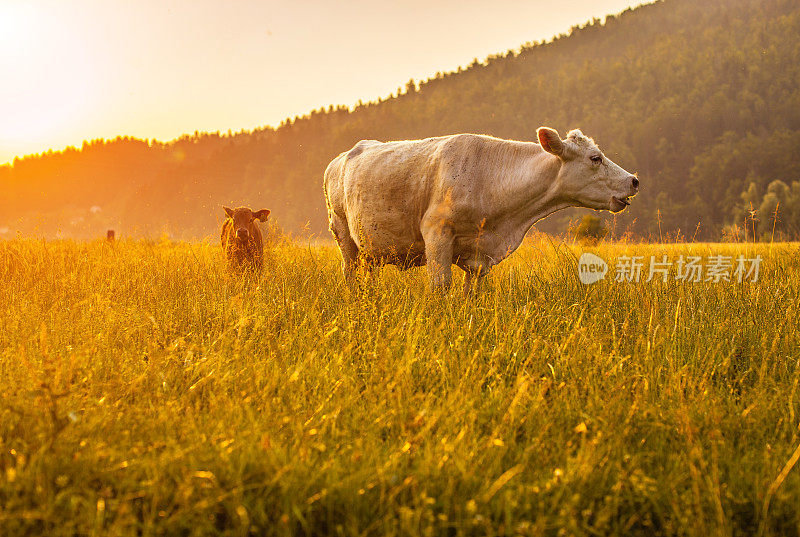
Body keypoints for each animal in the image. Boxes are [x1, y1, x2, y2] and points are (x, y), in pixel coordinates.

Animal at [322, 127, 640, 292]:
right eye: (595, 158)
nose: (634, 180)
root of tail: (339, 158)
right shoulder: (436, 233)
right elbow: (440, 286)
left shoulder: (479, 257)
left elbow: (471, 294)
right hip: (342, 233)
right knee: (350, 275)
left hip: (371, 249)